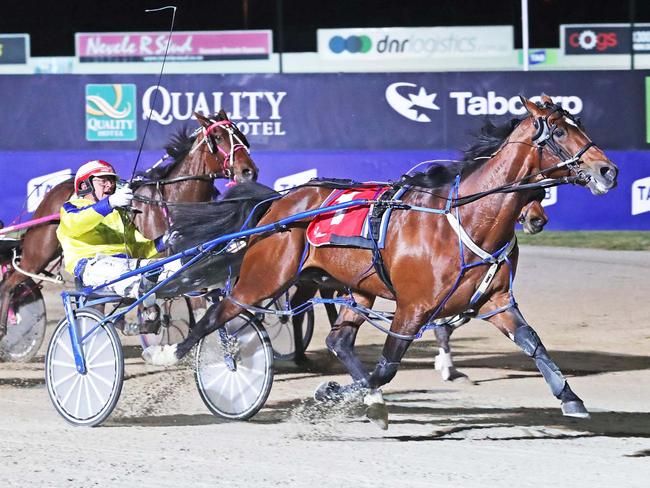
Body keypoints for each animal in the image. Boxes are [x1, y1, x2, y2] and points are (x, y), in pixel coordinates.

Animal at [0, 112, 258, 346]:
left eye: (240, 135)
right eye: (218, 137)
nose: (249, 171)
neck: (173, 201)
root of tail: (54, 191)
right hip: (39, 251)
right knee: (10, 283)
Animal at [144, 95, 616, 424]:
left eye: (579, 125)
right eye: (558, 133)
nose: (607, 170)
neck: (463, 216)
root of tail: (278, 203)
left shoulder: (495, 300)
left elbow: (532, 342)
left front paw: (570, 397)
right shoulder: (413, 307)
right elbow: (387, 366)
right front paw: (340, 394)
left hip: (356, 287)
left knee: (338, 339)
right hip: (265, 278)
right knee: (219, 312)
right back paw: (172, 353)